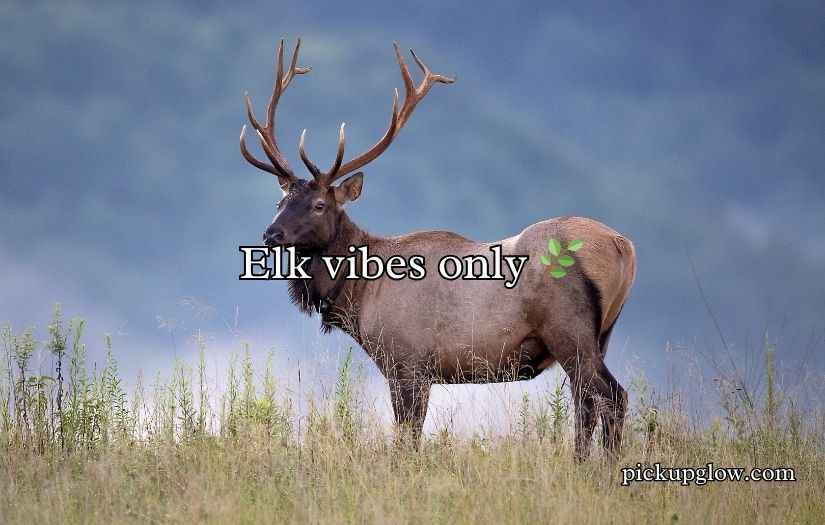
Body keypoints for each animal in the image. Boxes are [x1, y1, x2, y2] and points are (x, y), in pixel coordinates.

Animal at [240, 39, 637, 460]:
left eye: (318, 205)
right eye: (280, 201)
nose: (271, 234)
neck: (359, 295)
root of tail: (623, 246)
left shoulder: (407, 361)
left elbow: (407, 437)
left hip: (568, 329)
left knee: (611, 396)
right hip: (600, 335)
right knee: (588, 401)